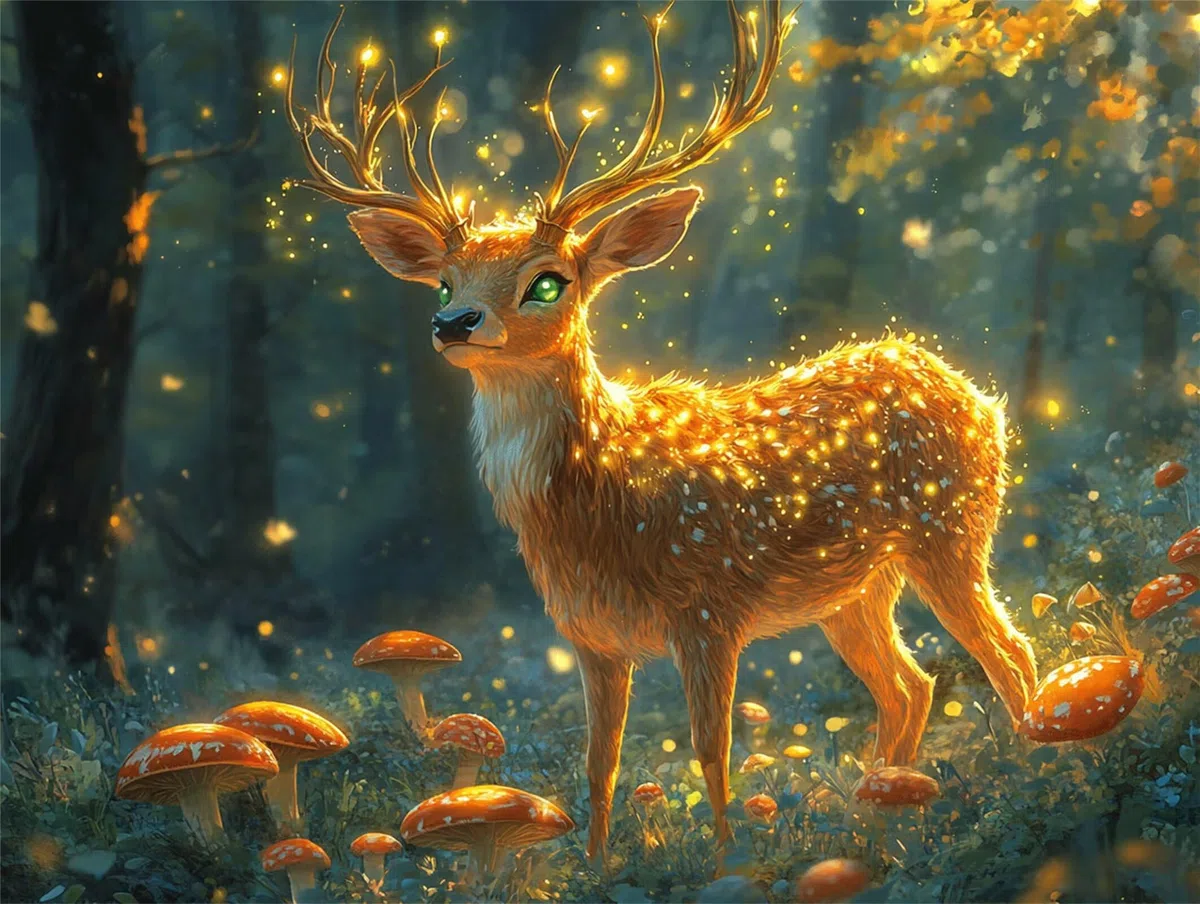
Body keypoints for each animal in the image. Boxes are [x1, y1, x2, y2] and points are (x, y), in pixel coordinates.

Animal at [286, 1, 1038, 866]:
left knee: (1008, 652)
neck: (597, 505)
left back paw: (1034, 778)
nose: (453, 323)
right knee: (911, 685)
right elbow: (599, 759)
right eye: (444, 281)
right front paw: (594, 865)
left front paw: (724, 862)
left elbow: (710, 748)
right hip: (854, 588)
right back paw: (874, 823)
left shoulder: (709, 605)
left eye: (550, 280)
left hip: (951, 531)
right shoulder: (588, 634)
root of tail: (977, 396)